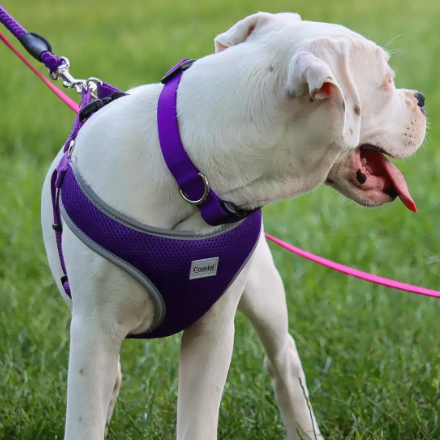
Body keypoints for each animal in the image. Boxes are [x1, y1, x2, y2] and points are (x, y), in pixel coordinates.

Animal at [41, 11, 426, 440]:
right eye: (387, 82)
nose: (421, 99)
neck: (194, 176)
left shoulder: (212, 331)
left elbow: (198, 422)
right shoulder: (94, 334)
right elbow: (86, 419)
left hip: (264, 290)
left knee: (283, 358)